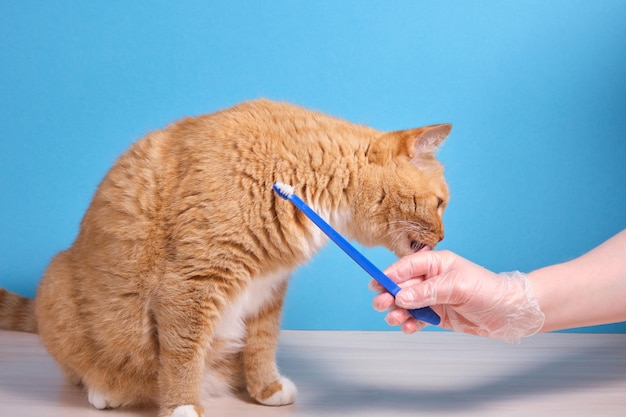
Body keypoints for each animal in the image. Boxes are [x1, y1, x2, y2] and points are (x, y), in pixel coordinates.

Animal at [0, 100, 448, 416]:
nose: (444, 237)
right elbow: (183, 354)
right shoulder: (193, 283)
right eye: (442, 203)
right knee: (83, 369)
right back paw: (103, 390)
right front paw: (183, 405)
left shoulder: (268, 290)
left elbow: (262, 344)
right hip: (56, 282)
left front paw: (265, 388)